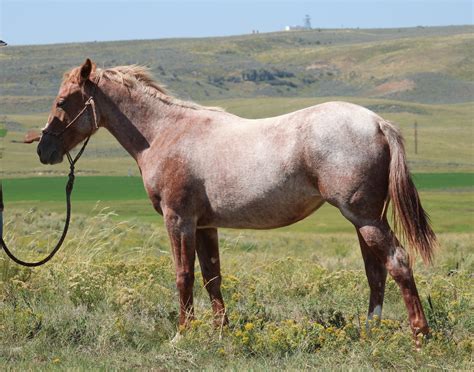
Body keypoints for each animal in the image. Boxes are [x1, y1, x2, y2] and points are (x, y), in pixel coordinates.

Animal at [38, 58, 436, 346]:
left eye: (61, 101)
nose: (44, 150)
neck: (165, 133)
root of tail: (378, 123)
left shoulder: (178, 220)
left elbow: (183, 276)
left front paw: (182, 335)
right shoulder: (204, 225)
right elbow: (212, 277)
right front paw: (221, 331)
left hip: (364, 217)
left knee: (397, 262)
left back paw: (419, 335)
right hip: (363, 220)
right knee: (376, 273)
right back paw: (369, 333)